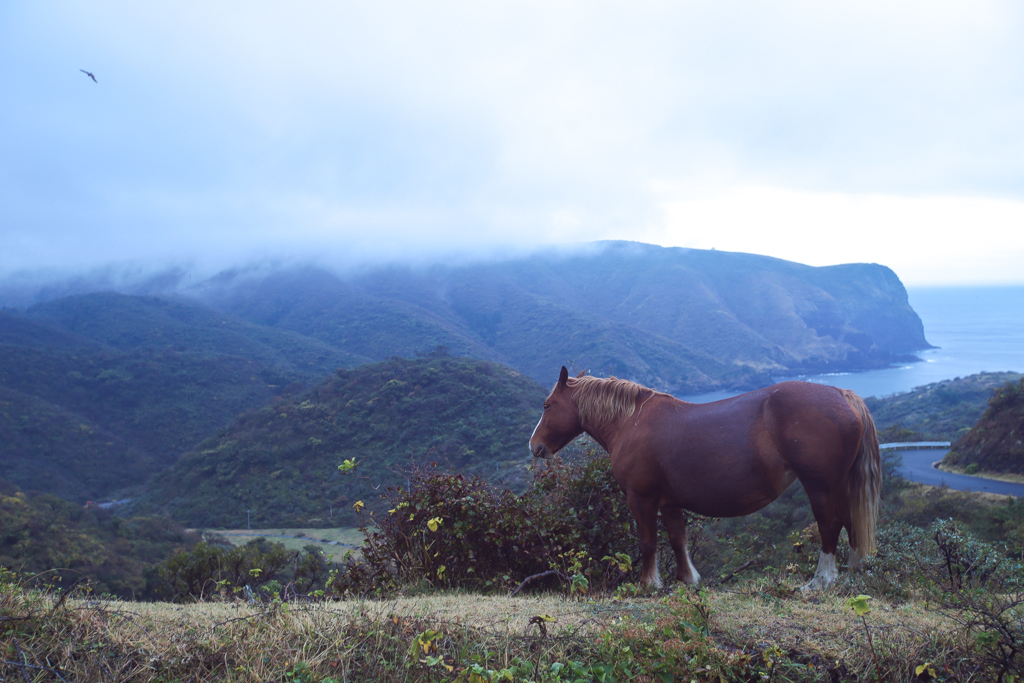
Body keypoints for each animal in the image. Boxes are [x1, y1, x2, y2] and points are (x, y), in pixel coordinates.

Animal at [528, 368, 880, 589]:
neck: (631, 421)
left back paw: (821, 581)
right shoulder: (669, 503)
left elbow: (647, 542)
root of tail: (841, 394)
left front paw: (648, 584)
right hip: (840, 485)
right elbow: (677, 539)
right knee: (850, 523)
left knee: (830, 525)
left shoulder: (641, 498)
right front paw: (687, 580)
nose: (535, 446)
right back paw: (852, 574)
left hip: (820, 486)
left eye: (547, 404)